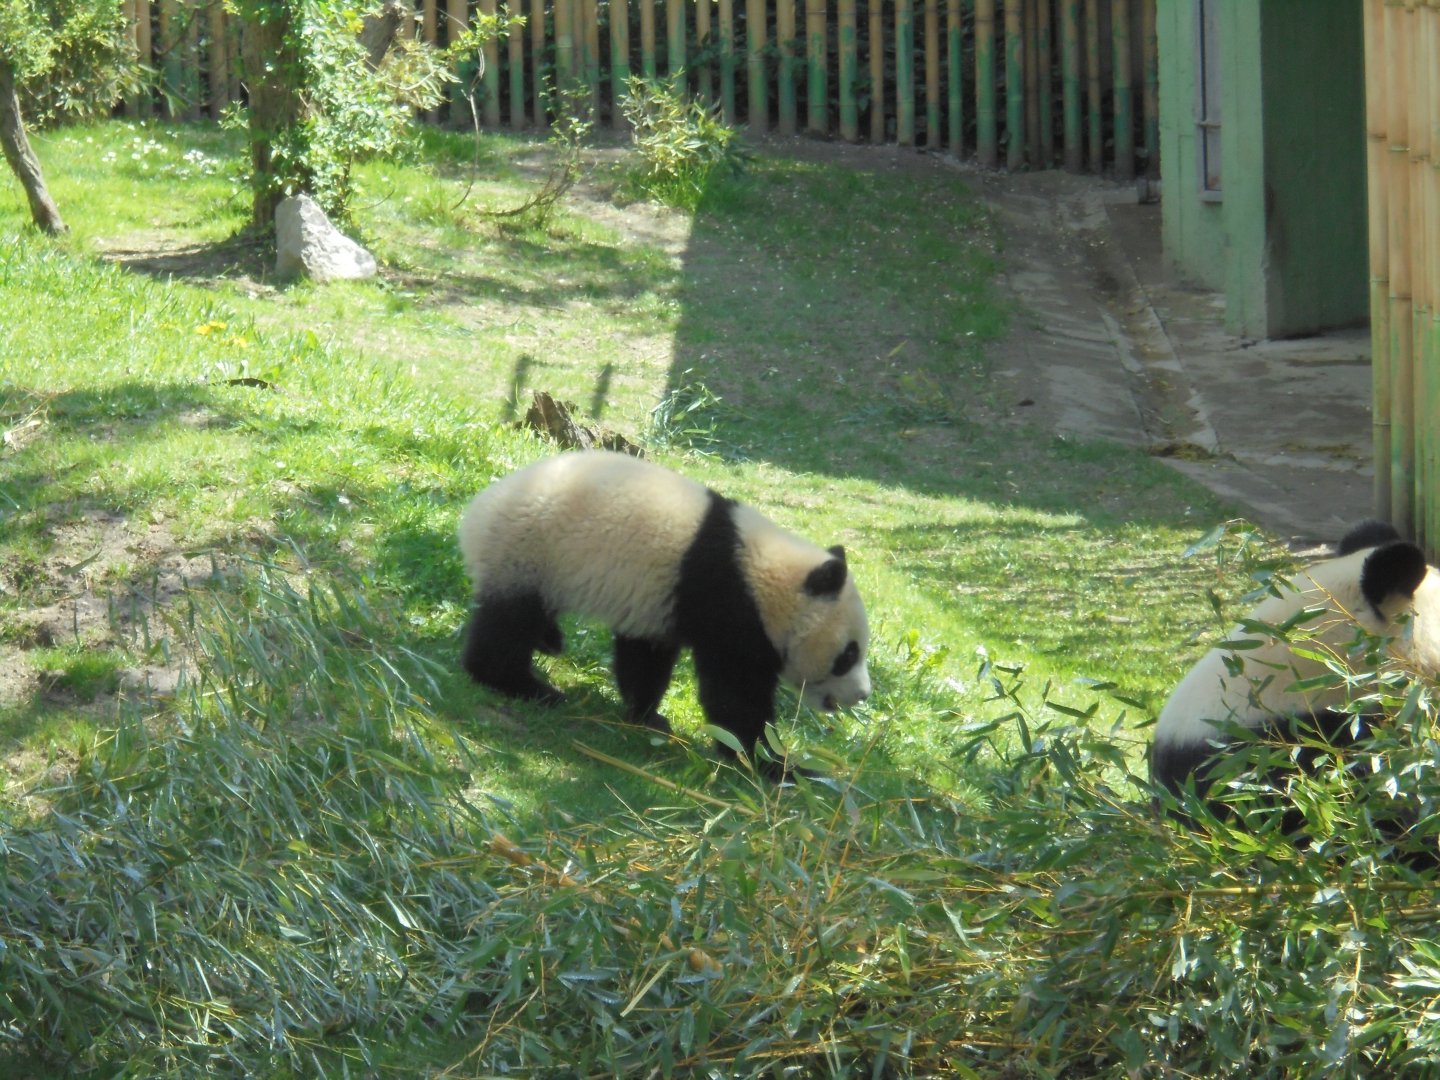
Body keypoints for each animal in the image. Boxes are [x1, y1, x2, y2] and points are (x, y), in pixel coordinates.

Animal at [456, 450, 871, 772]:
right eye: (849, 654)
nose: (863, 694)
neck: (766, 578)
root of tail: (476, 512)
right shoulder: (726, 599)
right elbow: (735, 697)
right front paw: (773, 764)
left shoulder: (656, 603)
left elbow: (645, 658)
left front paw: (648, 716)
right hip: (528, 553)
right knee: (509, 625)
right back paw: (524, 685)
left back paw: (549, 642)